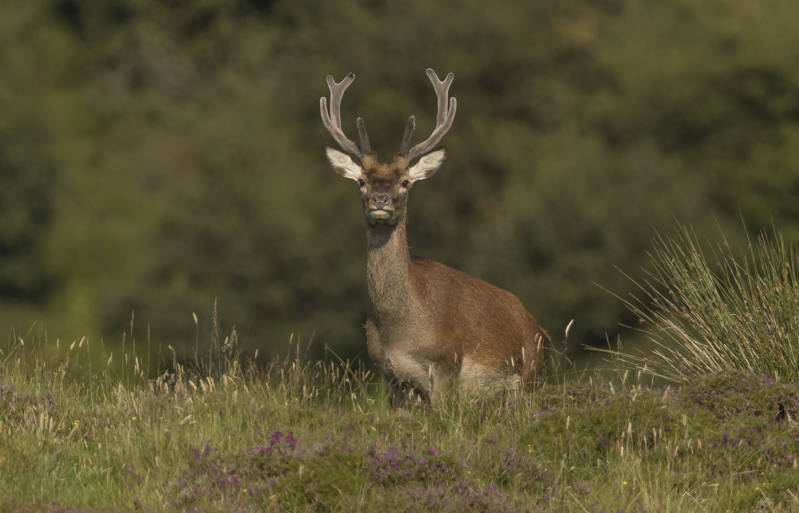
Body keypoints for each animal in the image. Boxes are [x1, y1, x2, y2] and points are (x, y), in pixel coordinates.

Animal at [321, 68, 549, 404]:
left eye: (404, 182)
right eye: (362, 181)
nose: (380, 200)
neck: (399, 331)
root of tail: (537, 327)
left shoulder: (446, 362)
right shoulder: (388, 374)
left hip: (529, 378)